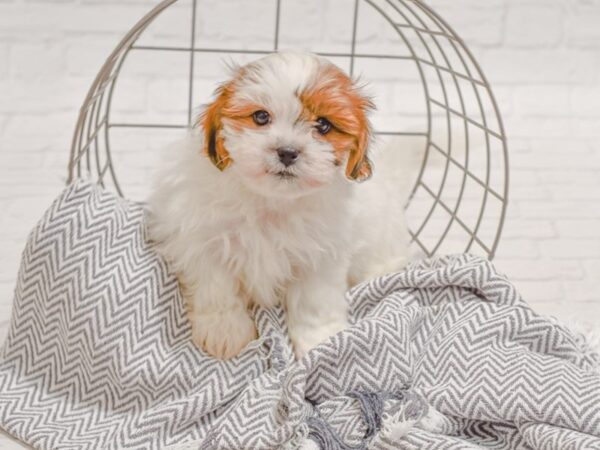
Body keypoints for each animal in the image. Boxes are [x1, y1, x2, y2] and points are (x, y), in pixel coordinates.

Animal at [148, 50, 414, 358]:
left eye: (323, 125)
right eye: (261, 116)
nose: (287, 152)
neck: (271, 200)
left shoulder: (321, 256)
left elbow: (315, 302)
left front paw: (320, 340)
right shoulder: (201, 241)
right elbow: (216, 288)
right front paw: (225, 330)